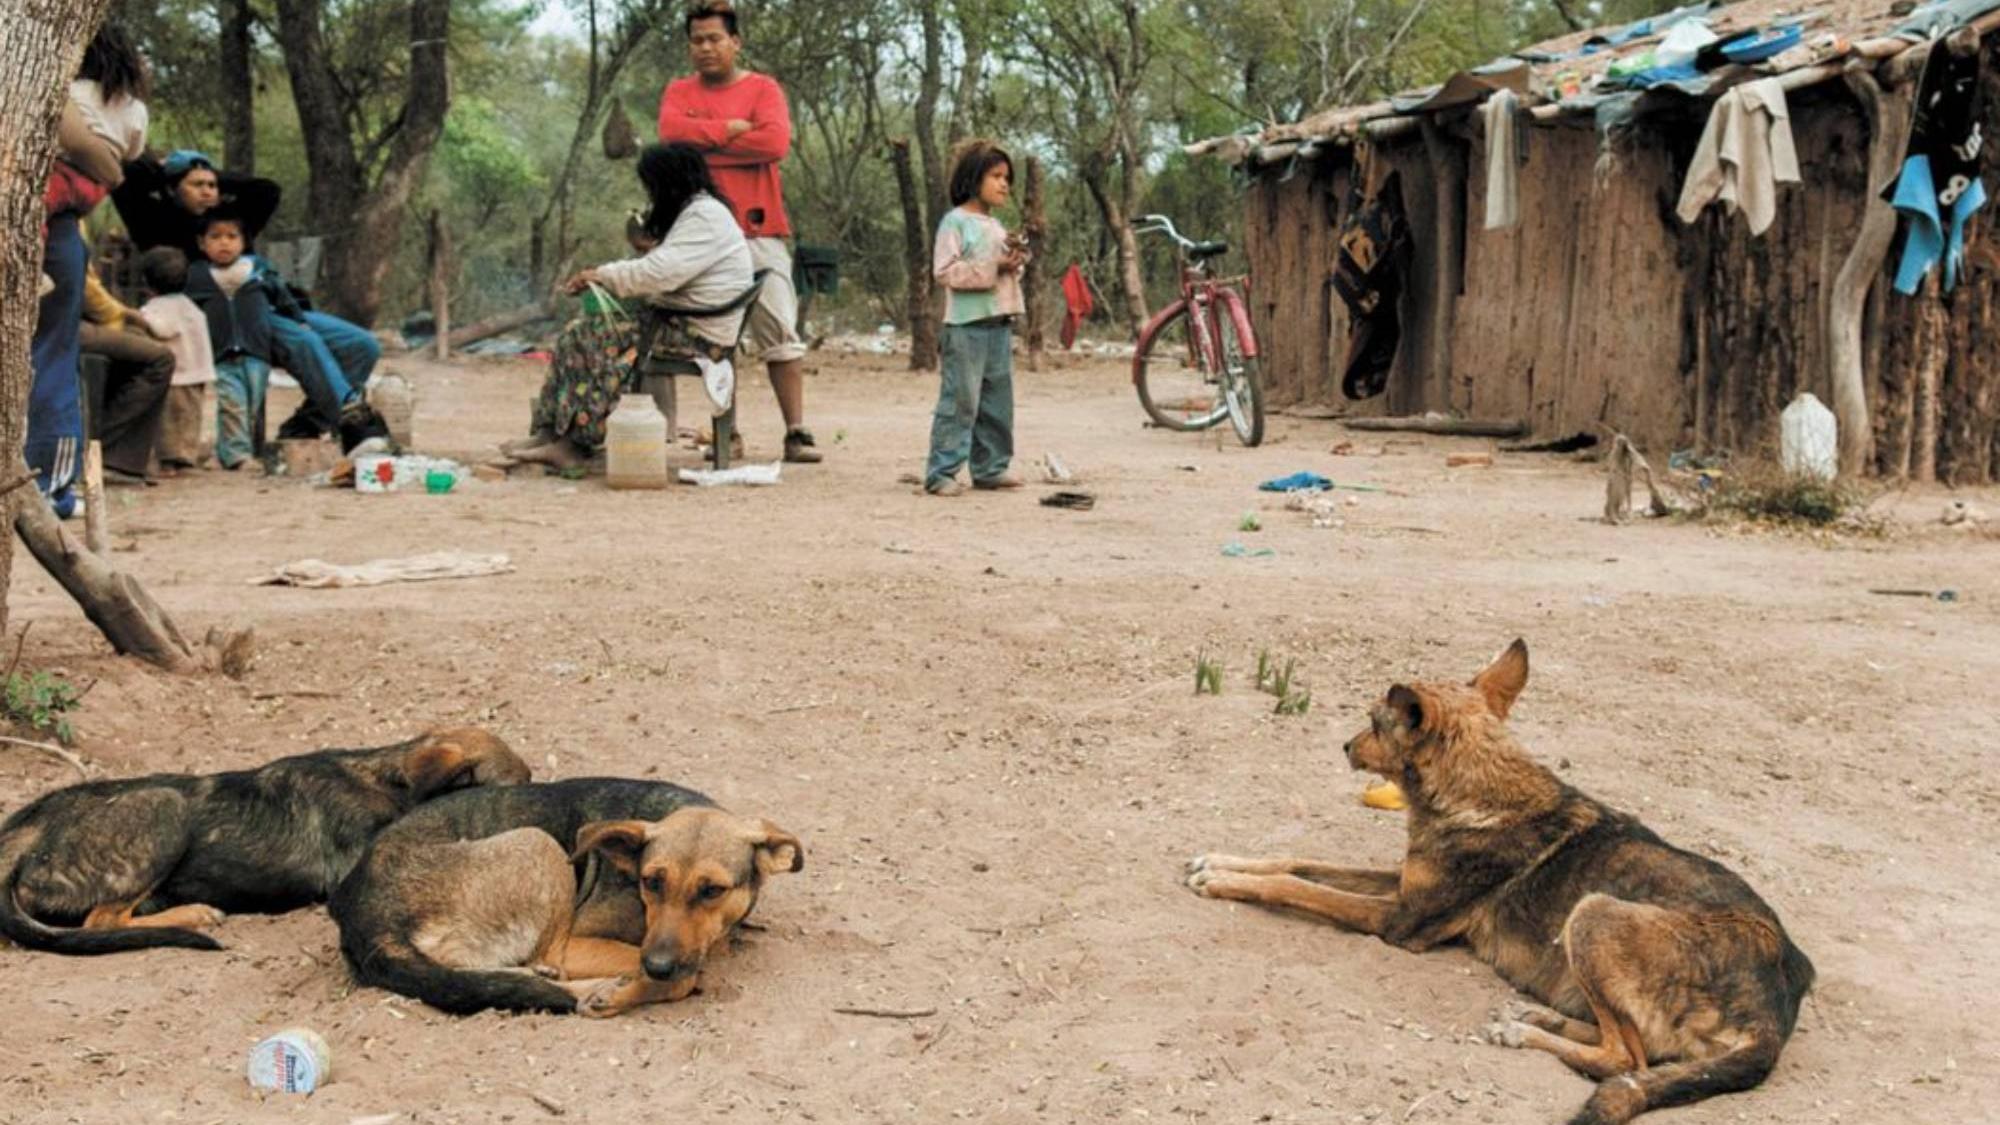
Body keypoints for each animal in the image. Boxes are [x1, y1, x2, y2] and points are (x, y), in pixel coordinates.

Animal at [0, 720, 532, 948]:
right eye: (517, 789)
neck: (388, 782)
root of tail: (28, 825)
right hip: (163, 806)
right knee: (101, 920)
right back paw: (195, 913)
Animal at [326, 776, 796, 1012]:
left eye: (713, 890)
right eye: (651, 882)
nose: (657, 966)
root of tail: (362, 916)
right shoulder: (580, 941)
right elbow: (686, 975)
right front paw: (623, 991)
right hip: (541, 846)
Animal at [1192, 640, 1824, 1120]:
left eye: (1374, 721)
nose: (1344, 745)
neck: (1479, 792)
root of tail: (1777, 1003)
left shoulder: (1398, 920)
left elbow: (1299, 887)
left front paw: (1221, 881)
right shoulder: (1402, 885)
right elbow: (1295, 861)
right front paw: (1217, 861)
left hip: (1594, 912)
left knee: (1627, 1059)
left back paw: (1525, 1033)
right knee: (1622, 1042)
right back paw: (1531, 1016)